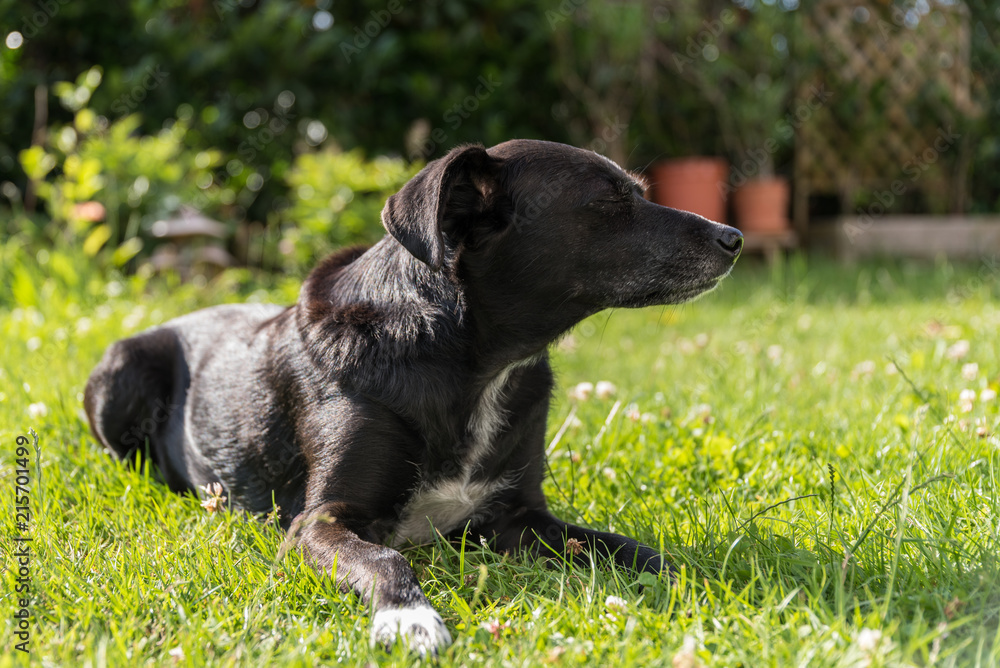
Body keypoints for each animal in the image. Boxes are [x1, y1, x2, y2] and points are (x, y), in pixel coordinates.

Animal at [84, 138, 744, 656]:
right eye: (608, 202)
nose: (733, 236)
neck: (470, 361)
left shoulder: (520, 516)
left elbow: (630, 549)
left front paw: (703, 580)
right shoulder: (320, 521)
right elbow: (385, 558)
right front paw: (410, 618)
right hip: (119, 371)